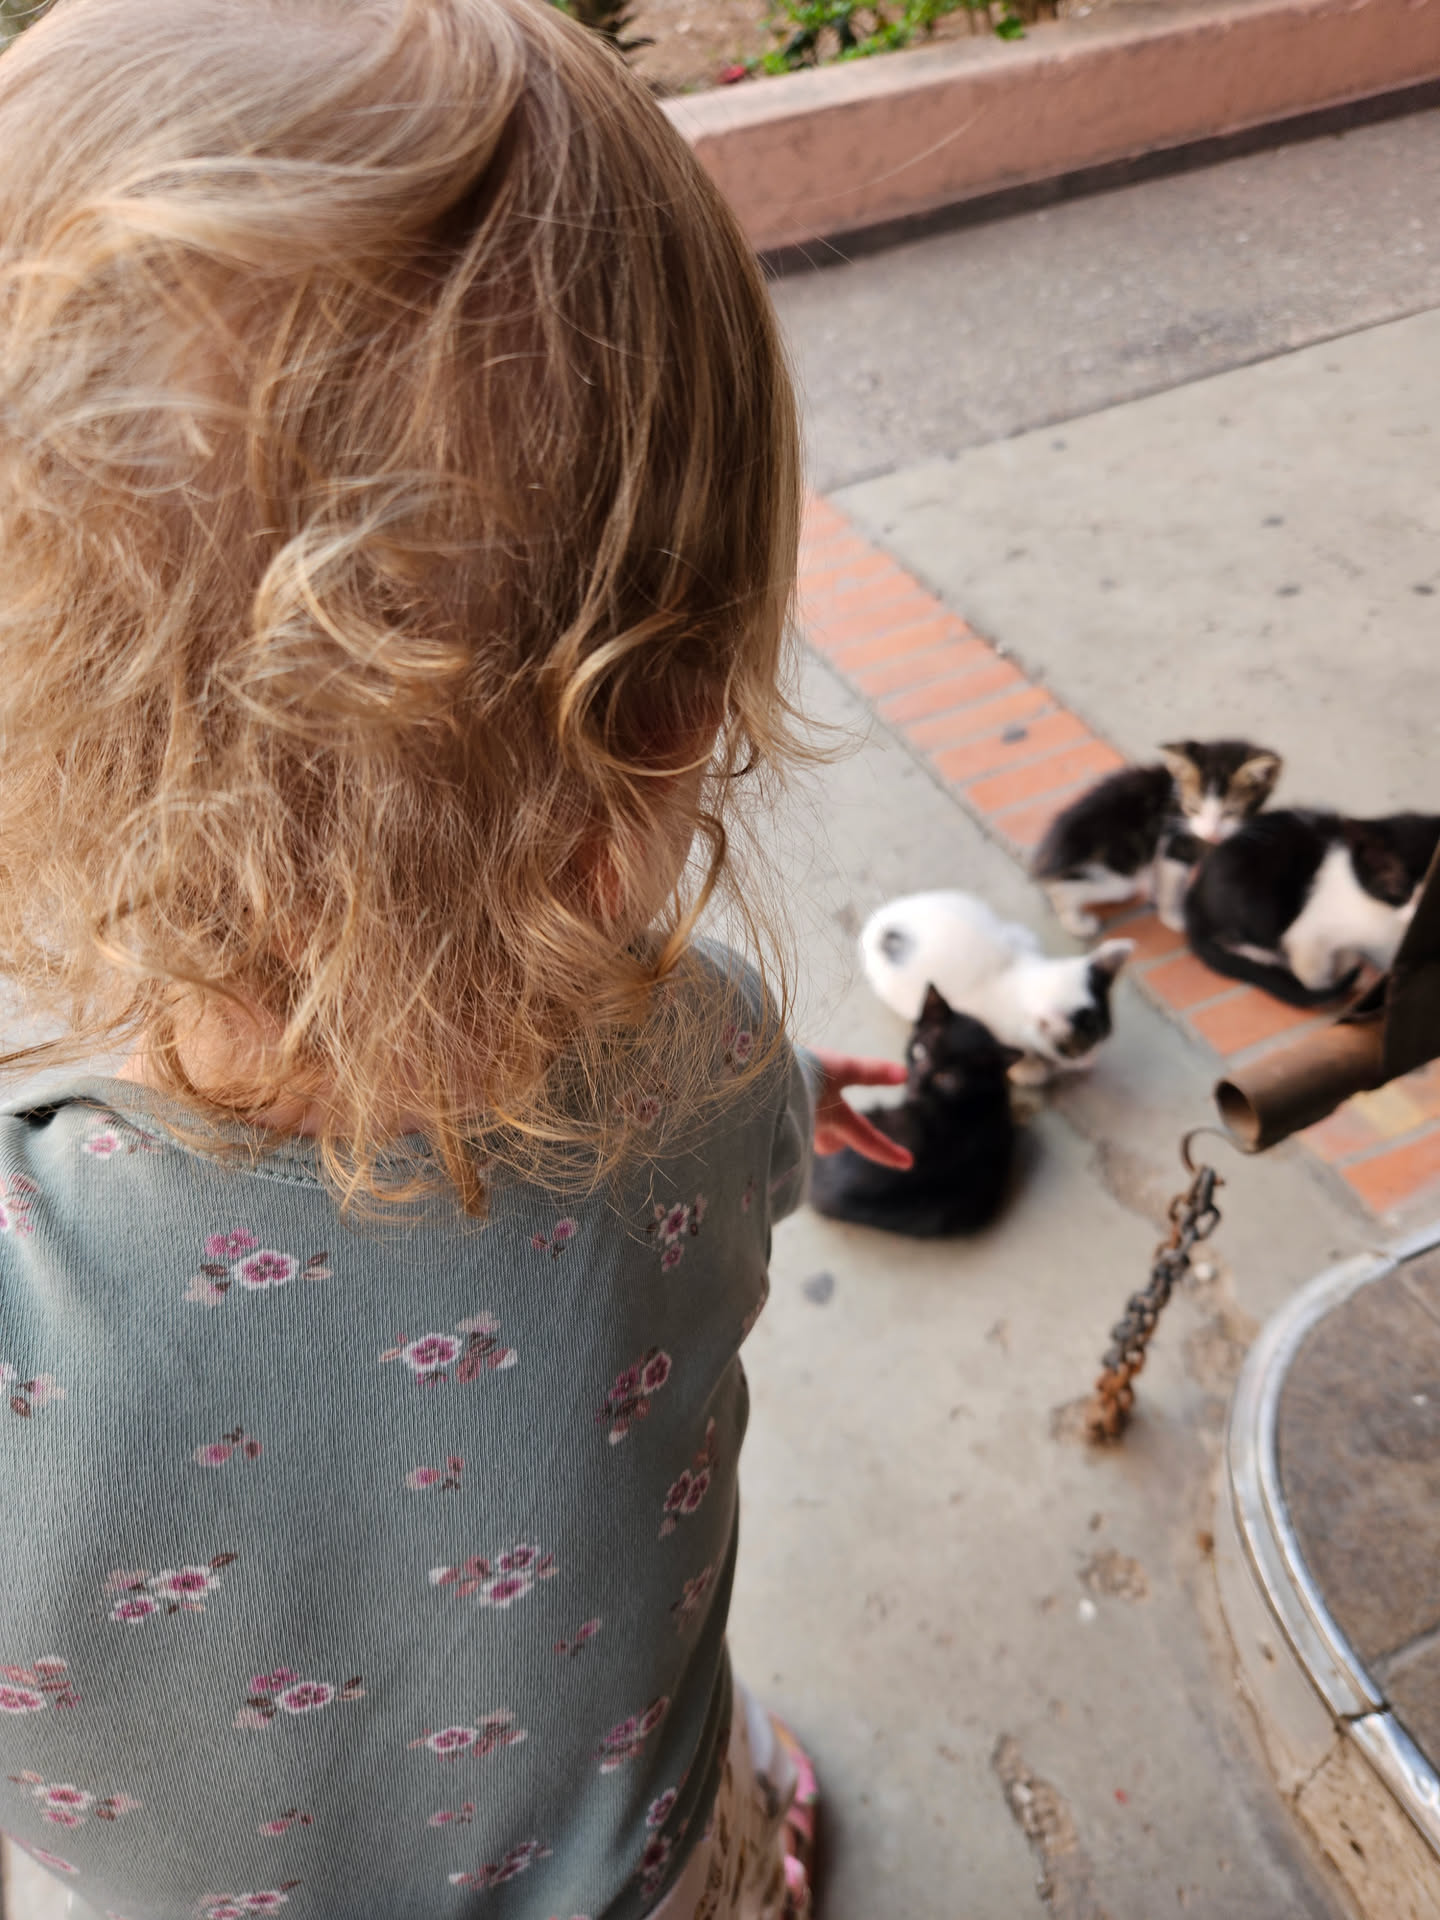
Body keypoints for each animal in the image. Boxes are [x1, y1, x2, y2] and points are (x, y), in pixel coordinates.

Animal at [859, 889, 1133, 1086]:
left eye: (1103, 1039)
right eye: (1075, 1051)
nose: (1090, 1062)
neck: (1017, 973)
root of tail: (881, 926)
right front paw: (1030, 1068)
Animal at [1031, 739, 1283, 937]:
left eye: (1230, 812)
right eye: (1193, 809)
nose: (1210, 832)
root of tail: (1046, 858)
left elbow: (1158, 873)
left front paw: (1155, 894)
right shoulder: (1175, 845)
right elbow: (1172, 885)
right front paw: (1174, 918)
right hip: (1116, 876)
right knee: (1063, 890)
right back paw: (1077, 923)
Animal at [1184, 809, 1440, 1006]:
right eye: (1398, 887)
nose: (1414, 915)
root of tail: (1193, 900)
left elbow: (1346, 952)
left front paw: (1353, 972)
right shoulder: (1309, 929)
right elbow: (1311, 966)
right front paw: (1324, 986)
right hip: (1252, 903)